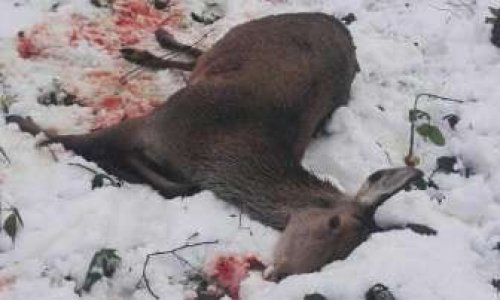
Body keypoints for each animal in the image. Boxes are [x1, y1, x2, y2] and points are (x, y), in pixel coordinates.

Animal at [6, 12, 434, 280]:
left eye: (342, 256)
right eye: (332, 224)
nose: (282, 274)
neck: (215, 151)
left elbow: (177, 187)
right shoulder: (156, 122)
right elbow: (73, 141)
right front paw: (20, 122)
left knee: (194, 60)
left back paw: (148, 48)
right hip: (242, 32)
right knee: (199, 52)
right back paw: (153, 41)